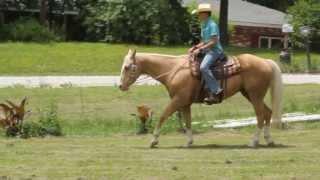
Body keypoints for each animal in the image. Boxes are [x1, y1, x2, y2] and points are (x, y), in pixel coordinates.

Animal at [120, 49, 282, 148]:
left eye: (127, 67)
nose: (121, 86)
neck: (173, 70)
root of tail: (265, 61)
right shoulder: (185, 103)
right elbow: (187, 121)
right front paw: (189, 142)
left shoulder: (178, 100)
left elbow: (163, 116)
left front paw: (154, 141)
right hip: (250, 94)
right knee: (267, 112)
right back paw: (269, 140)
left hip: (255, 95)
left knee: (260, 115)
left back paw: (254, 142)